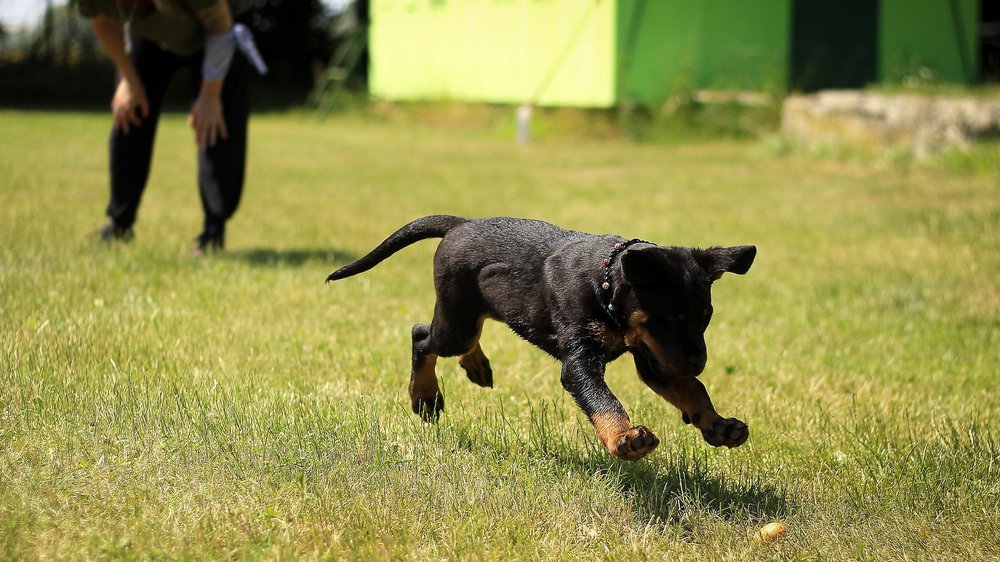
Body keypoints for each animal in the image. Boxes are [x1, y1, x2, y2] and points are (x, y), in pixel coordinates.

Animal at [328, 215, 756, 460]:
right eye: (669, 318)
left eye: (705, 318)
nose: (699, 361)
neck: (604, 283)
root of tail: (461, 223)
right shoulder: (582, 360)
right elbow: (604, 400)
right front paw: (624, 438)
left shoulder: (656, 358)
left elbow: (693, 389)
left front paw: (718, 425)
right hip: (456, 320)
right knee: (422, 336)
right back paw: (425, 396)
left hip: (477, 310)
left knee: (464, 337)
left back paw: (476, 366)